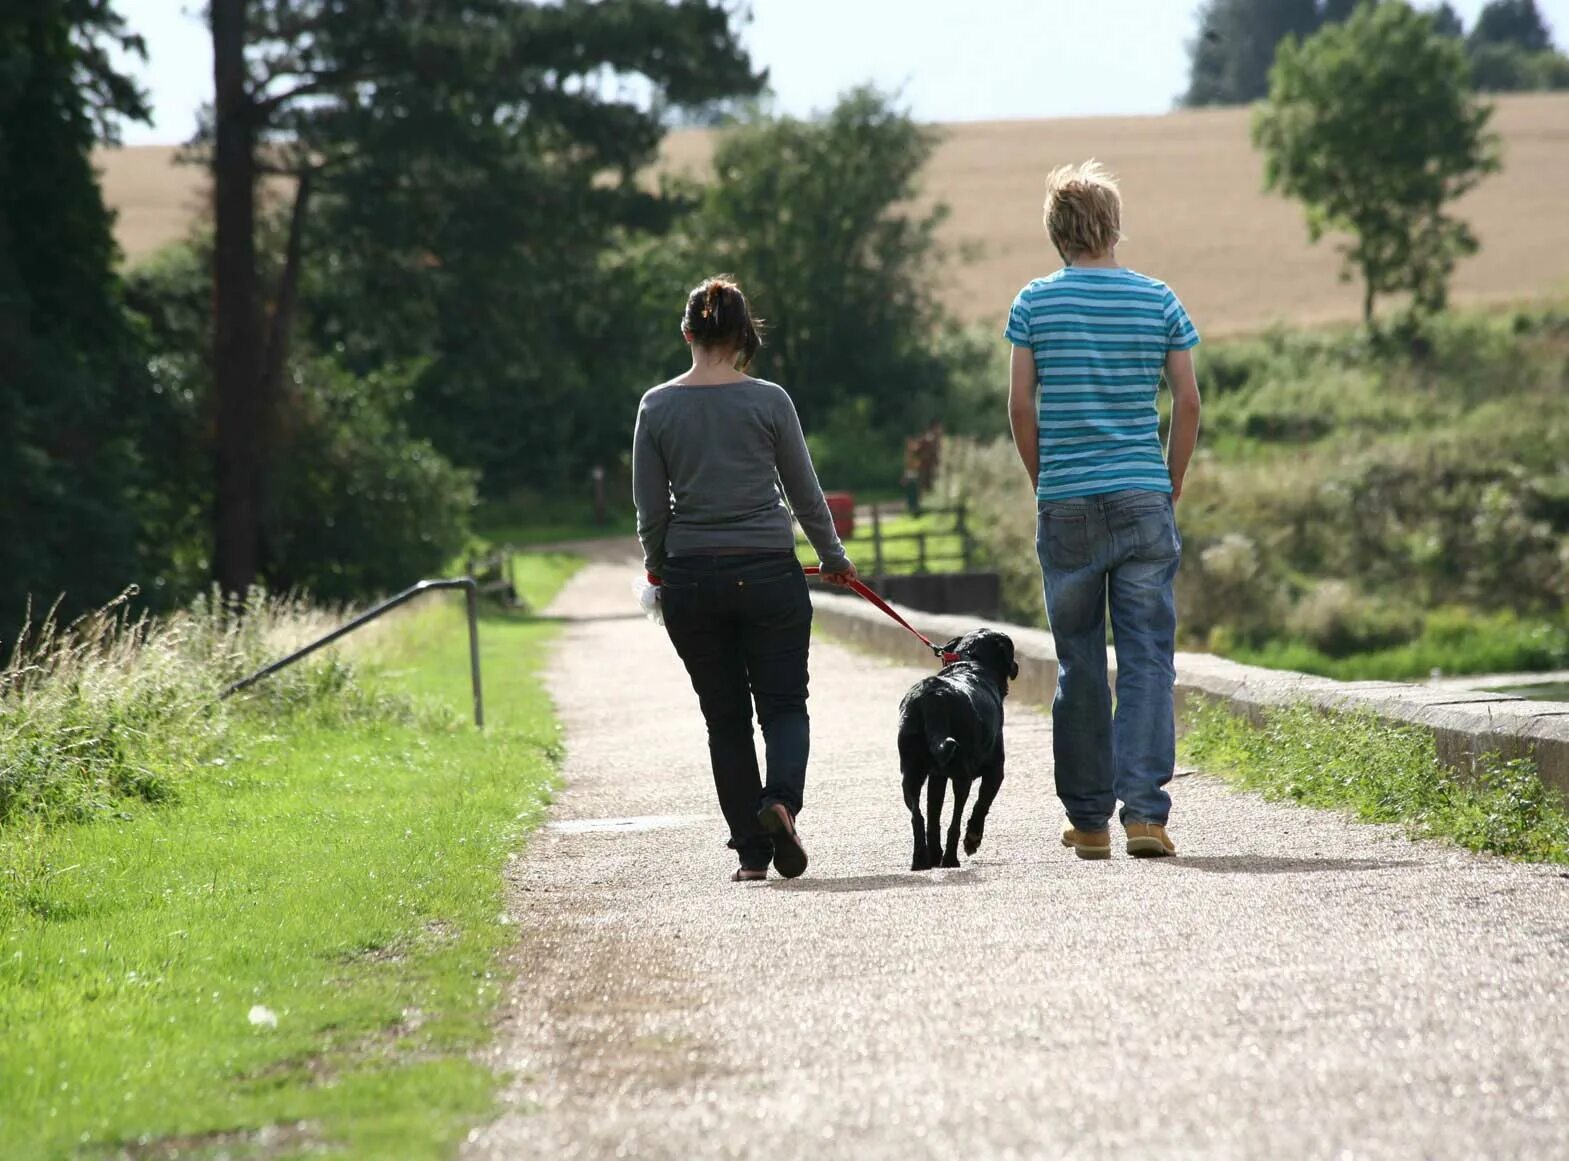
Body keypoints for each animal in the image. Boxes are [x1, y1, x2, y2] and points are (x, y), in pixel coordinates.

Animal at [897, 624, 1016, 872]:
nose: (1017, 666)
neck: (972, 661)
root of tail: (932, 696)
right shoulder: (995, 771)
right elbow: (982, 804)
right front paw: (972, 840)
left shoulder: (937, 777)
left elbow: (933, 815)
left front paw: (934, 855)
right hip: (962, 776)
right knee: (955, 820)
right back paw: (951, 859)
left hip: (910, 774)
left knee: (918, 817)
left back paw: (921, 860)